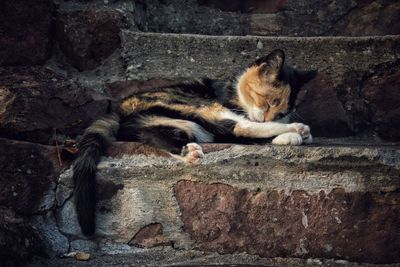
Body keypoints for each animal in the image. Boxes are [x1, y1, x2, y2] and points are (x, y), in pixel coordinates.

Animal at [72, 49, 316, 236]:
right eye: (267, 102)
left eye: (280, 111)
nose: (269, 118)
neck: (235, 91)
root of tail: (119, 110)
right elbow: (242, 129)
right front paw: (295, 132)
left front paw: (289, 132)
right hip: (198, 103)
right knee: (236, 127)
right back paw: (298, 130)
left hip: (174, 123)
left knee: (147, 133)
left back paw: (187, 151)